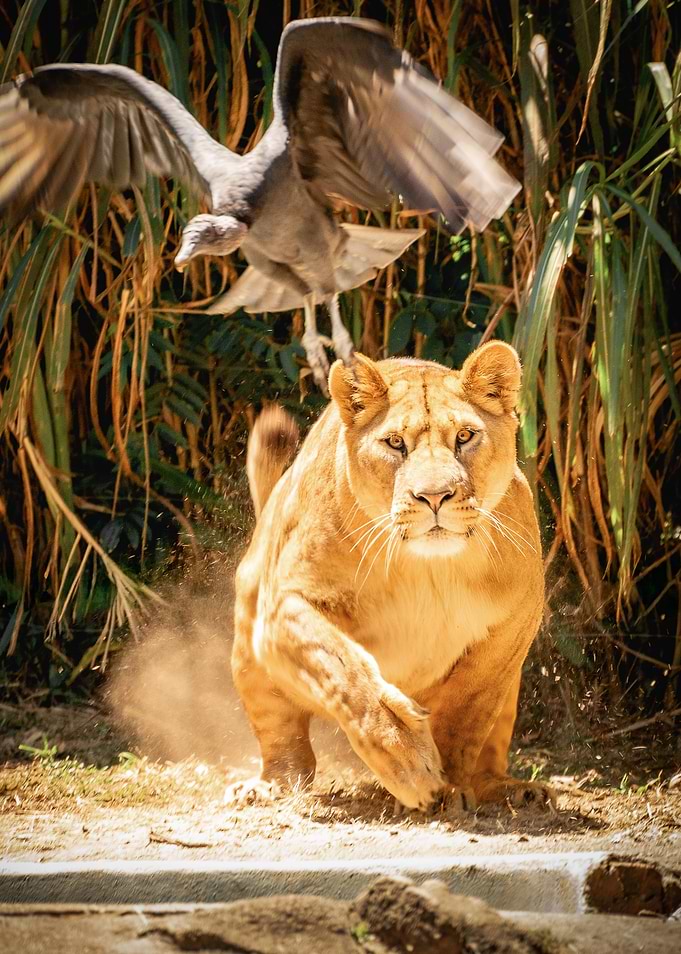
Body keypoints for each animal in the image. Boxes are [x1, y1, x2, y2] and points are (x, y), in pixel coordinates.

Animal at [231, 342, 553, 811]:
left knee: (491, 747)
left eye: (465, 437)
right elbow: (346, 674)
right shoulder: (285, 607)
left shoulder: (515, 622)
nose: (434, 496)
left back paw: (511, 789)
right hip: (250, 651)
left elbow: (466, 714)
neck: (428, 568)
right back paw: (267, 786)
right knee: (288, 745)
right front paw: (409, 765)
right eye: (395, 443)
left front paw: (451, 786)